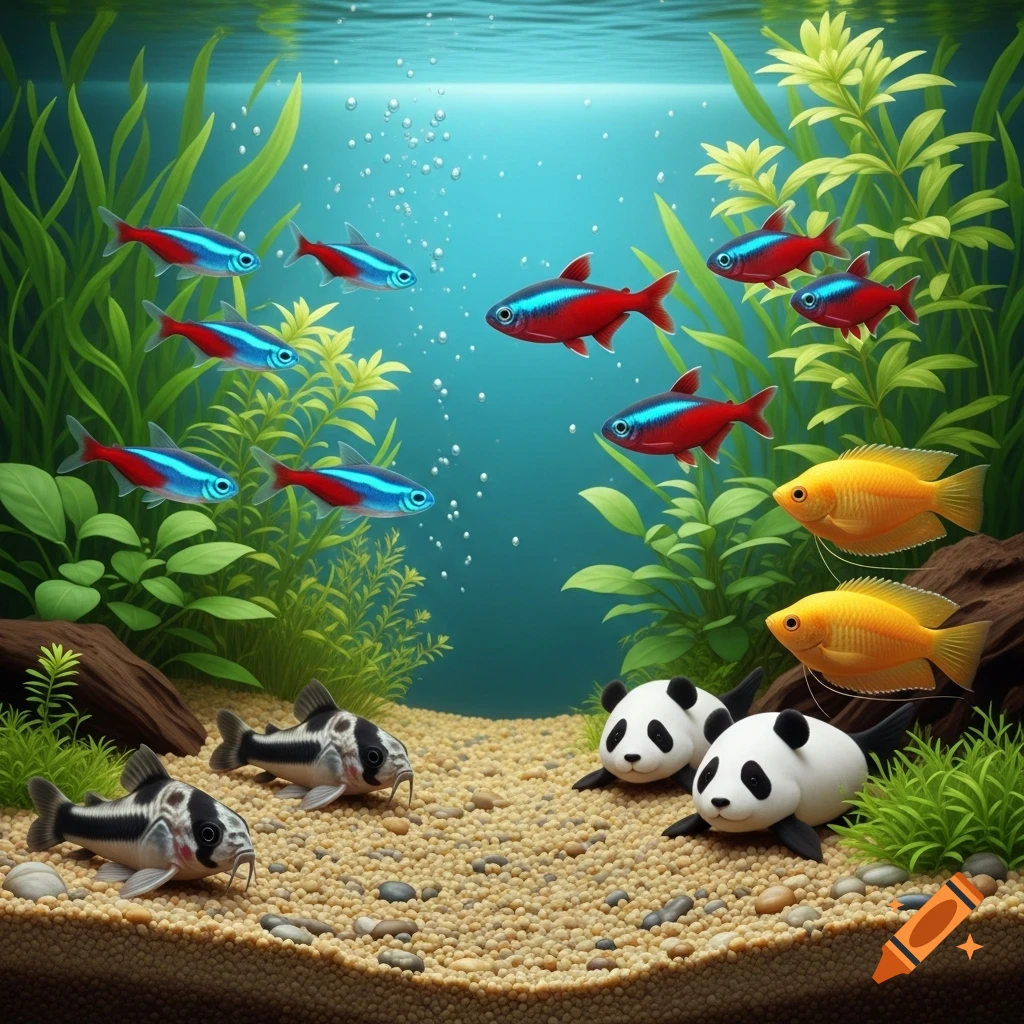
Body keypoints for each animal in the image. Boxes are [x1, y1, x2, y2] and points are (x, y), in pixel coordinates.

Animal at [662, 702, 917, 861]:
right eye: (707, 776)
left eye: (753, 780)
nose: (720, 801)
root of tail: (858, 743)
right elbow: (696, 820)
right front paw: (675, 829)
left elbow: (796, 831)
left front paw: (812, 852)